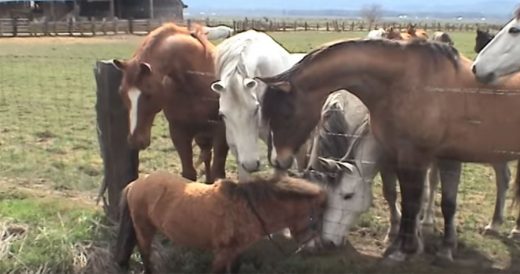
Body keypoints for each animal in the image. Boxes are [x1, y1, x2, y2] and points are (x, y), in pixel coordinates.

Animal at [112, 23, 229, 182]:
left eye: (149, 93)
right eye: (121, 92)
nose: (135, 140)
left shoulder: (221, 132)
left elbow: (218, 172)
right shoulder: (178, 131)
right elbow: (189, 174)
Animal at [114, 171, 328, 274]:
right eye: (314, 219)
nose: (317, 247)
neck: (248, 208)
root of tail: (136, 183)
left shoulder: (235, 251)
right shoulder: (223, 252)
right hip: (144, 228)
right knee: (145, 253)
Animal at [258, 38, 520, 262]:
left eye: (286, 113)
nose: (278, 160)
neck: (406, 83)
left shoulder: (419, 156)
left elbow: (417, 201)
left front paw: (405, 250)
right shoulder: (395, 155)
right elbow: (400, 197)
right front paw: (402, 242)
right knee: (503, 178)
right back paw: (495, 224)